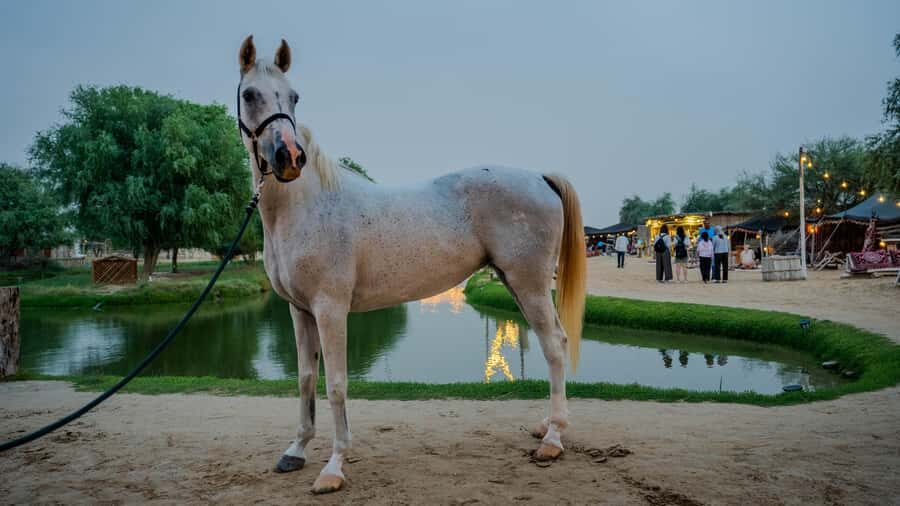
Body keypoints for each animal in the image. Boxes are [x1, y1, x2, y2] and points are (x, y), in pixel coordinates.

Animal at [235, 35, 587, 494]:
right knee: (552, 346)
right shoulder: (299, 311)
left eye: (293, 97)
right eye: (249, 94)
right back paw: (546, 425)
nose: (289, 157)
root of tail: (539, 178)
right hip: (515, 284)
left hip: (529, 284)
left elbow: (337, 385)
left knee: (555, 346)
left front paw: (334, 466)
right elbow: (306, 380)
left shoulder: (331, 310)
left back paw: (553, 439)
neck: (308, 206)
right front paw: (295, 451)